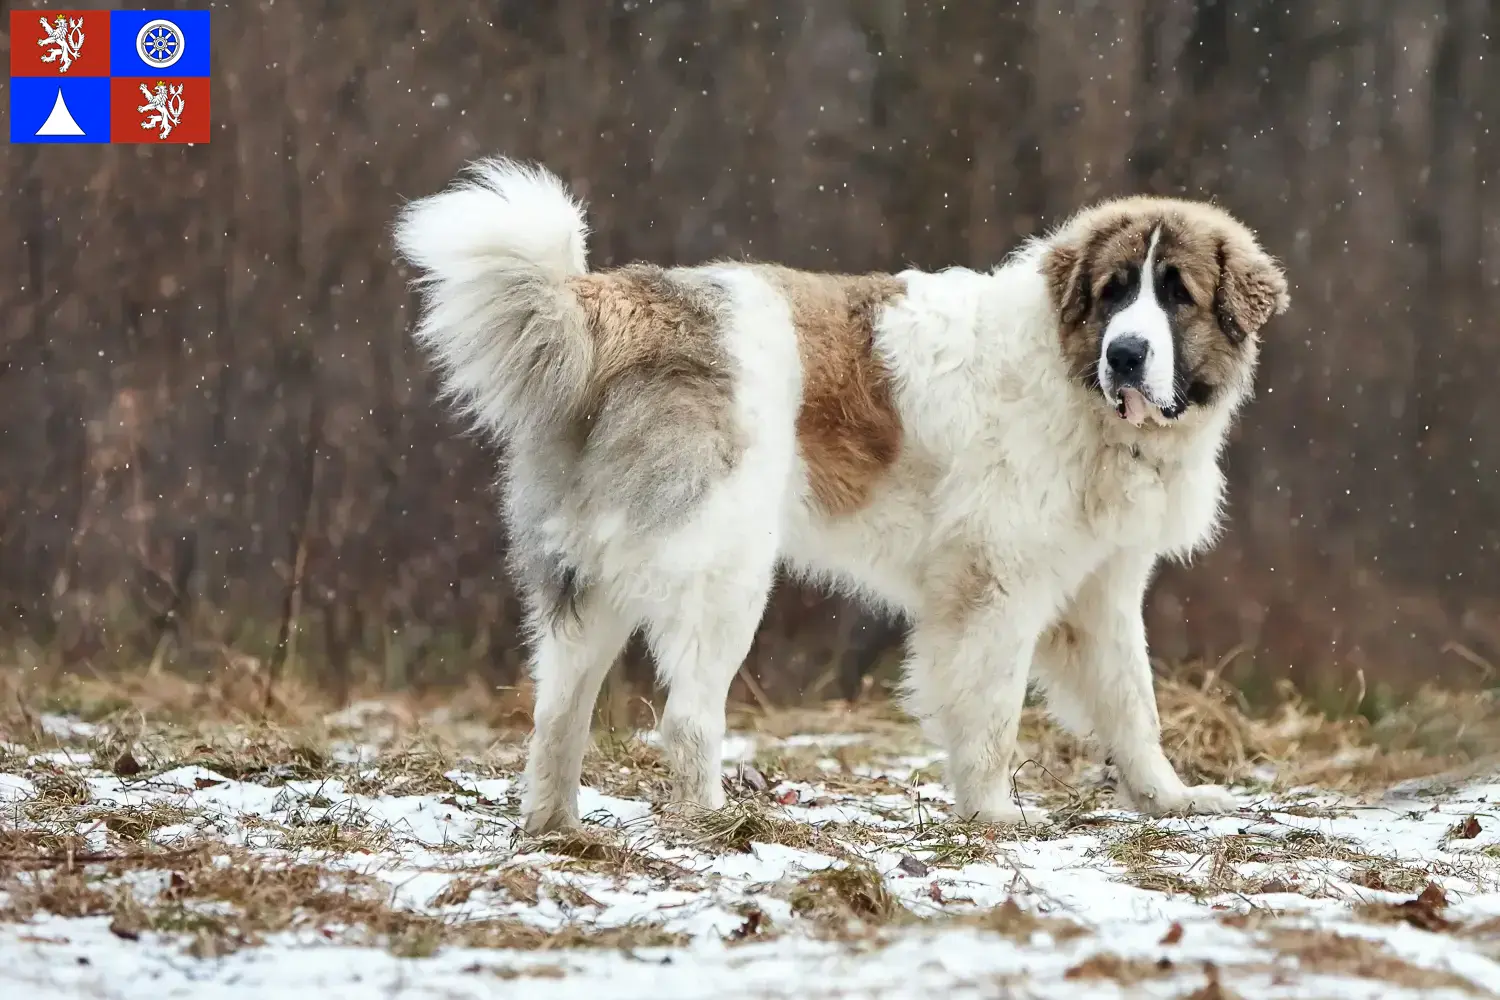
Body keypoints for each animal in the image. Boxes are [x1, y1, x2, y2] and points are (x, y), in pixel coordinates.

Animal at [396, 156, 1290, 833]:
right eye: (1113, 292)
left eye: (1175, 295)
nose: (1128, 355)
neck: (1077, 387)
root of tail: (634, 301)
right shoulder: (995, 588)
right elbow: (992, 712)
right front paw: (996, 815)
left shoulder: (1101, 591)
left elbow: (1133, 703)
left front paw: (1169, 798)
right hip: (725, 572)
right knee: (687, 717)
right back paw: (719, 820)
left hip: (591, 579)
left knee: (556, 713)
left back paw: (556, 827)